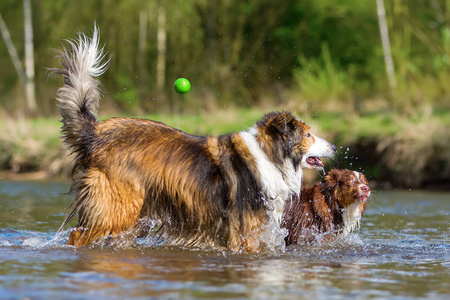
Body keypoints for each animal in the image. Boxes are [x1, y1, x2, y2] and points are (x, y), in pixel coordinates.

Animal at [52, 28, 336, 252]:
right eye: (308, 134)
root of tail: (95, 131)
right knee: (77, 236)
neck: (269, 156)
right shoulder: (248, 235)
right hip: (116, 208)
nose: (334, 146)